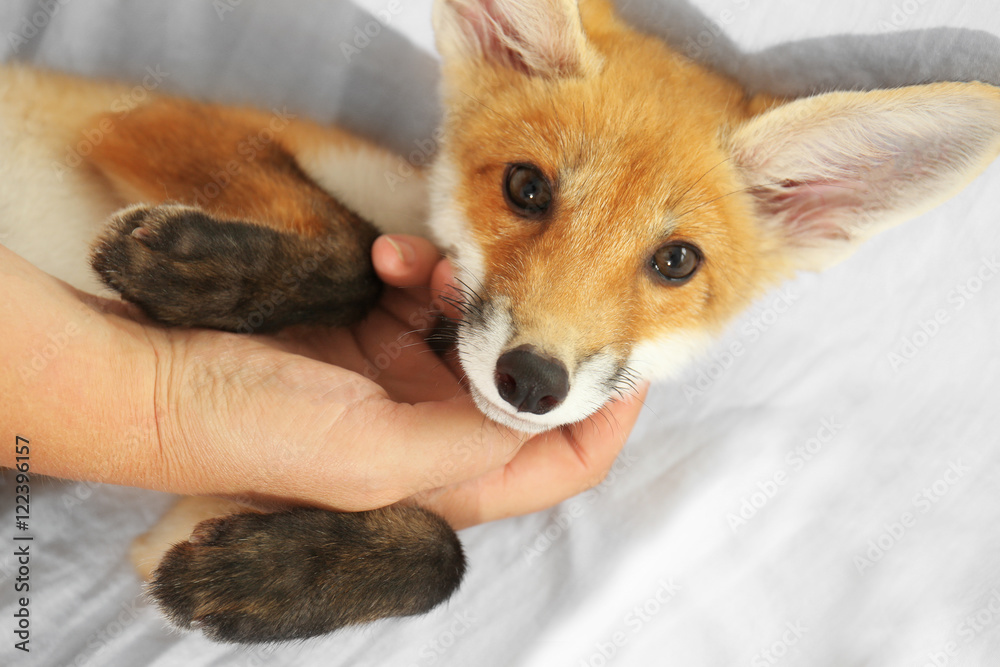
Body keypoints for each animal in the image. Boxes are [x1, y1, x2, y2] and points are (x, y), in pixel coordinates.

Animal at [2, 0, 999, 644]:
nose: (532, 380)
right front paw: (172, 266)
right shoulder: (145, 121)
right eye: (527, 188)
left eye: (676, 262)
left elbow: (441, 558)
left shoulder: (209, 497)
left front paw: (257, 579)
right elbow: (349, 247)